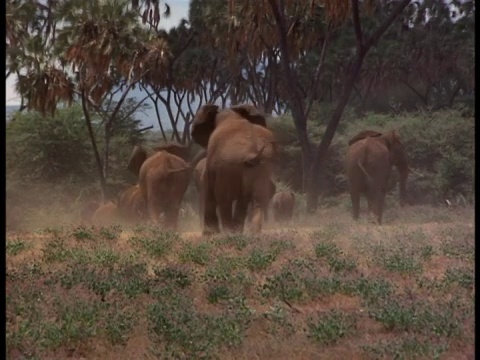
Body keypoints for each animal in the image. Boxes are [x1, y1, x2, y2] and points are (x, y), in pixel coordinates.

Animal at [191, 102, 278, 235]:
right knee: (258, 199)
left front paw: (211, 233)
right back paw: (251, 233)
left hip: (228, 166)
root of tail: (252, 153)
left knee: (224, 199)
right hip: (263, 166)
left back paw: (229, 233)